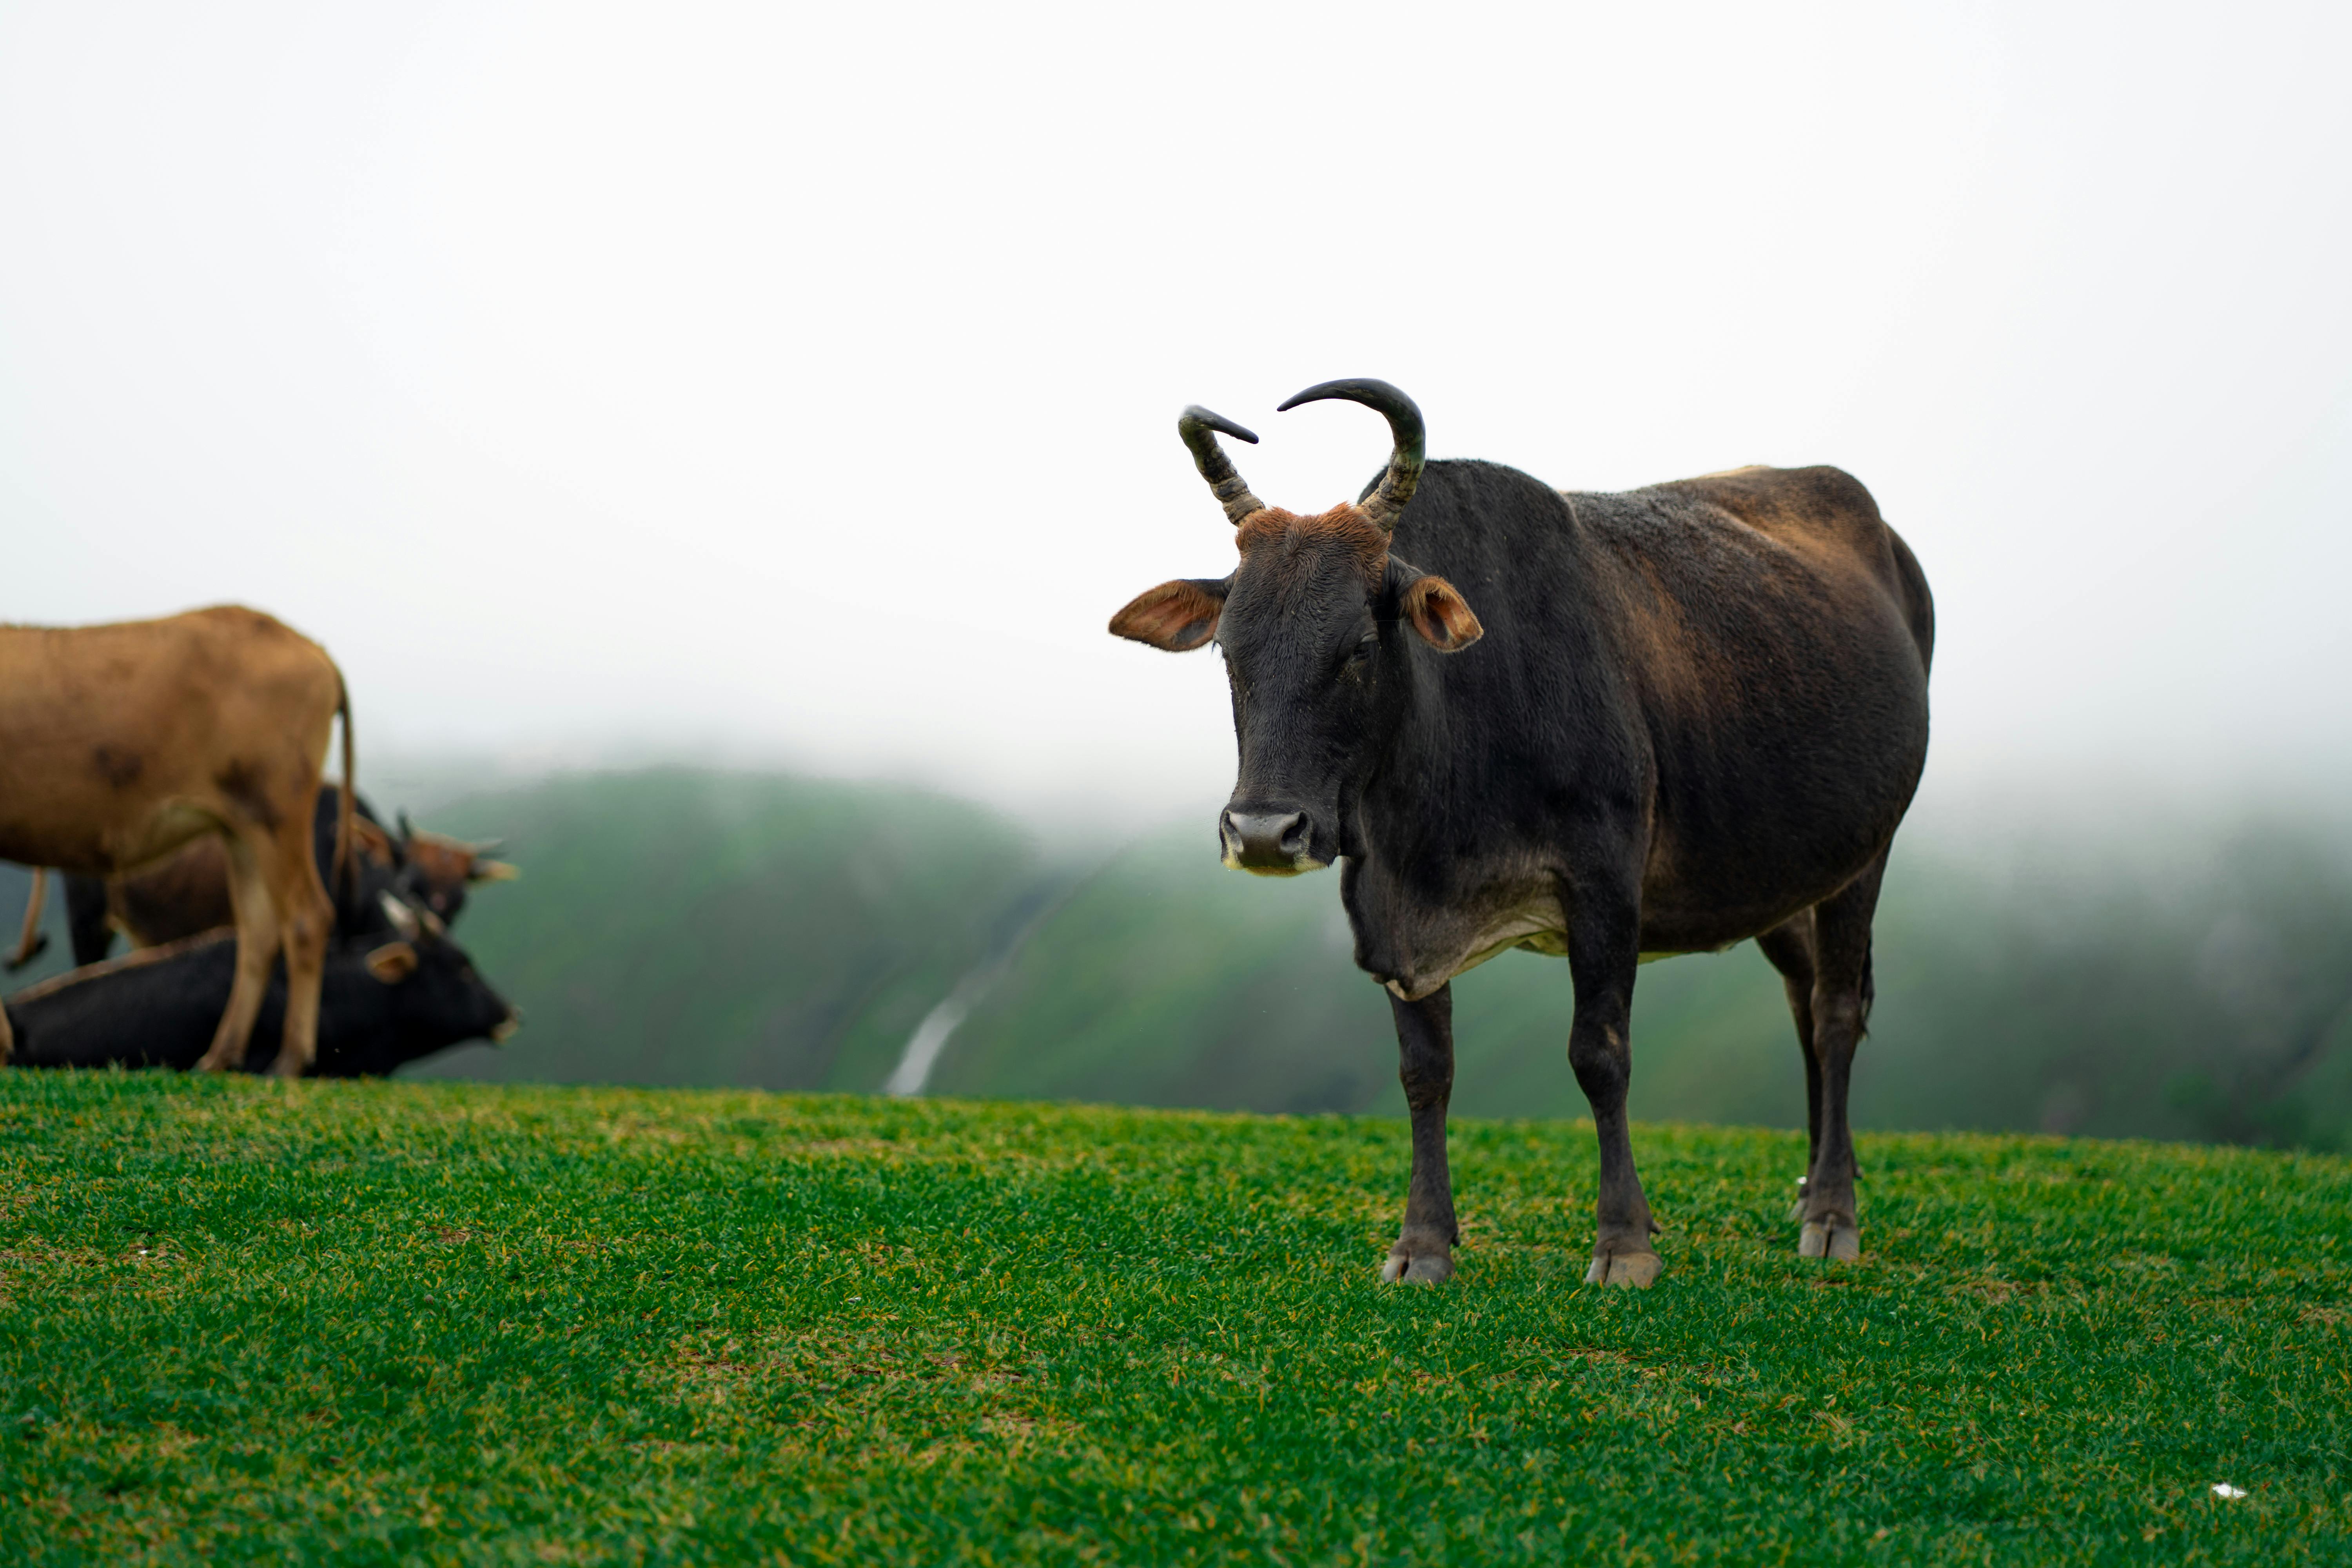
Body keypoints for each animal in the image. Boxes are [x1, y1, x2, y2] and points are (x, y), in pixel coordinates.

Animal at [0, 606, 353, 1072]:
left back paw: (290, 1060)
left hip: (276, 811)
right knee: (258, 932)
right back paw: (221, 1055)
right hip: (241, 829)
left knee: (306, 918)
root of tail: (313, 649)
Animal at [1110, 381, 1938, 1288]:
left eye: (1358, 646)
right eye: (1228, 650)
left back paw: (1831, 1211)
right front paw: (1422, 1242)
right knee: (1804, 999)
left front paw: (1624, 1241)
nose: (1263, 831)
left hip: (1866, 852)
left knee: (1835, 1009)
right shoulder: (1386, 916)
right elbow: (1425, 1071)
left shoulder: (1605, 882)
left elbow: (1599, 1054)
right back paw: (1813, 1184)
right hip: (1778, 880)